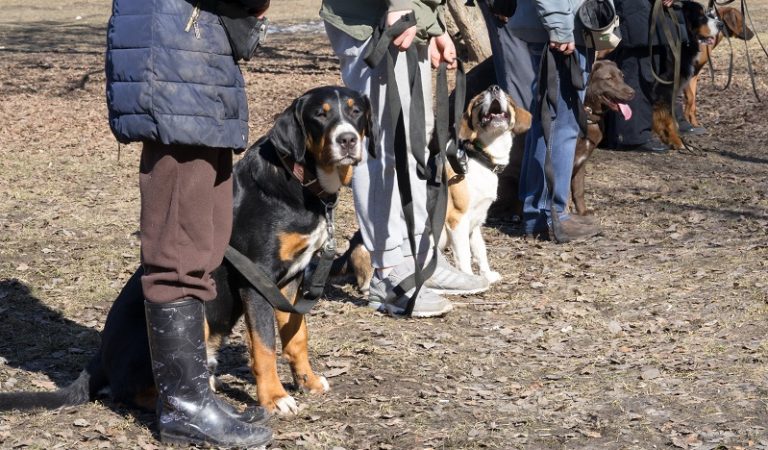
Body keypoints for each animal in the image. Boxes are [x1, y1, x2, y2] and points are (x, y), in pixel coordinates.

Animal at [0, 86, 375, 415]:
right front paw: (275, 398)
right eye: (319, 115)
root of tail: (99, 358)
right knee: (132, 391)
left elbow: (296, 335)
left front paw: (307, 381)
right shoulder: (257, 280)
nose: (348, 140)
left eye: (356, 111)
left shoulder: (290, 281)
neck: (301, 182)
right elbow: (265, 345)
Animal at [441, 85, 530, 282]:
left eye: (507, 97)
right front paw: (469, 279)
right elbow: (464, 255)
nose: (494, 88)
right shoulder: (458, 219)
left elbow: (480, 251)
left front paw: (487, 275)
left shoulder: (476, 222)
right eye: (479, 100)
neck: (481, 158)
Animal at [572, 60, 635, 216]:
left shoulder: (582, 160)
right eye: (609, 78)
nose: (633, 93)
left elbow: (578, 190)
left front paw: (583, 213)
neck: (588, 115)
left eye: (622, 76)